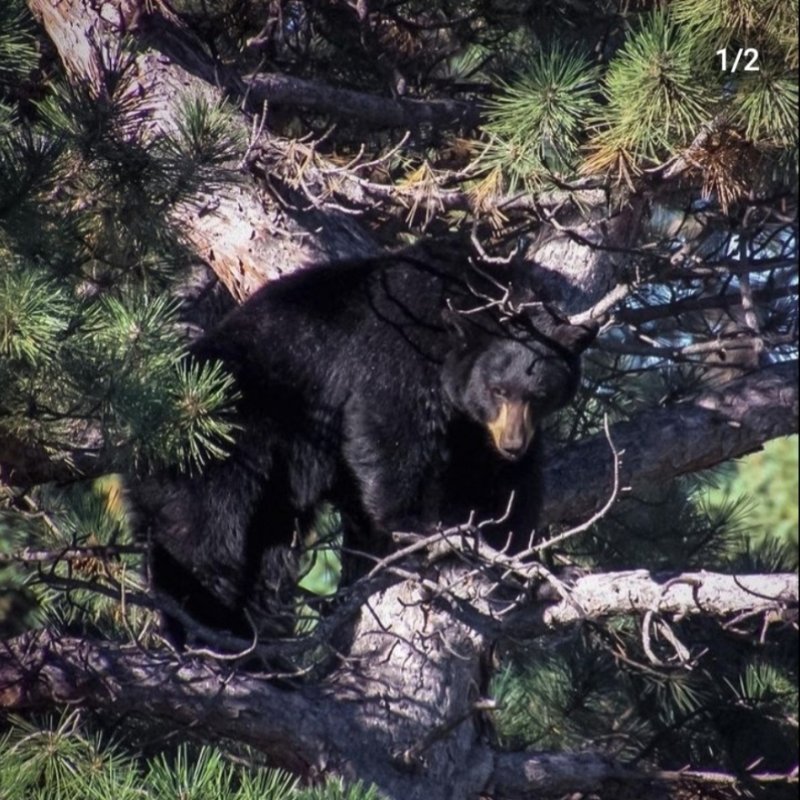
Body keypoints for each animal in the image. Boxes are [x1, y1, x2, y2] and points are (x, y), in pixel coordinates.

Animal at [132, 242, 596, 642]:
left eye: (539, 394)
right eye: (498, 389)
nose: (513, 443)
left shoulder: (477, 430)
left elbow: (503, 488)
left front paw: (534, 570)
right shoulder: (401, 342)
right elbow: (388, 423)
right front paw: (415, 526)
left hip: (274, 493)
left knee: (269, 560)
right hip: (224, 443)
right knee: (205, 537)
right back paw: (207, 632)